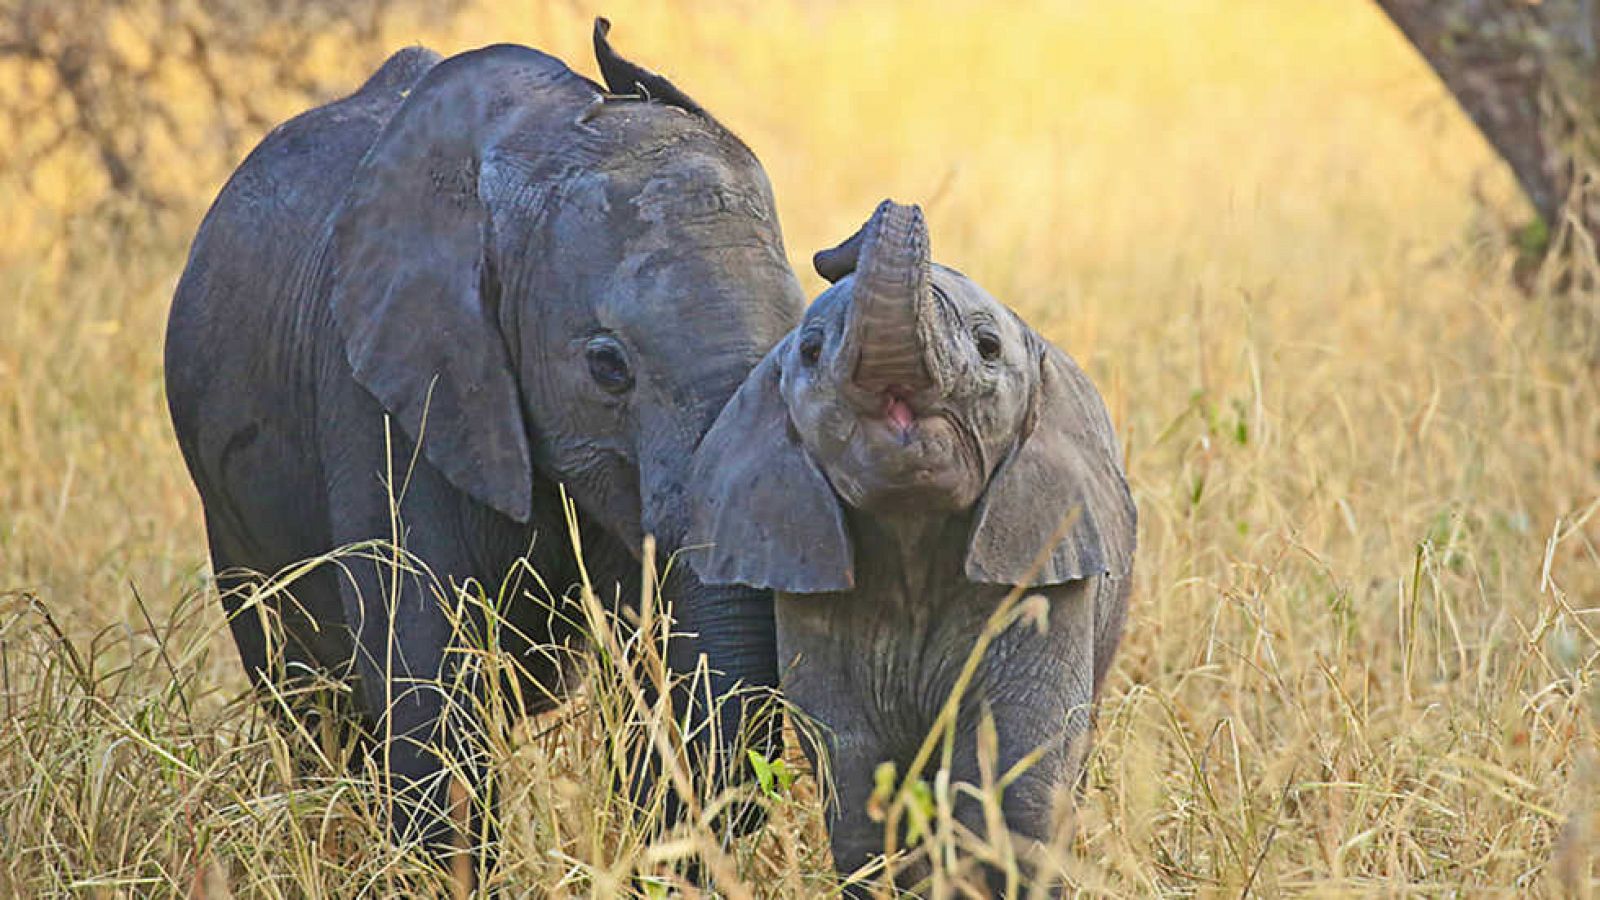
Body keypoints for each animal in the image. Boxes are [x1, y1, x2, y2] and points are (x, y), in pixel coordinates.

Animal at [688, 197, 1139, 890]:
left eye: (987, 347)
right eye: (810, 351)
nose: (830, 254)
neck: (912, 525)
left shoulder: (1038, 564)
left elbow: (1014, 774)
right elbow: (858, 776)